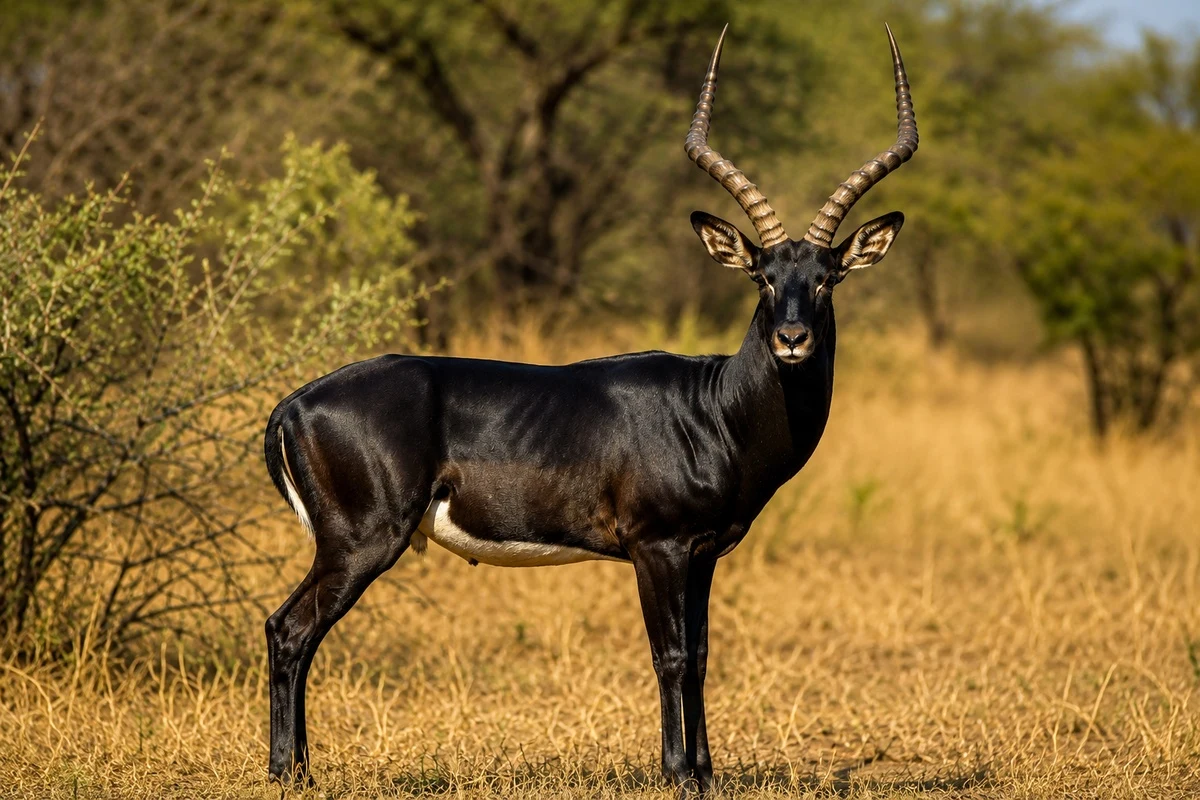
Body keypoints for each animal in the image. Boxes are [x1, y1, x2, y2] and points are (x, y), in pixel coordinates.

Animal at [263, 24, 918, 794]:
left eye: (826, 278)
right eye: (762, 276)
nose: (792, 339)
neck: (714, 411)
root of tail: (294, 404)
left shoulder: (703, 554)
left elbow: (701, 657)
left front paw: (706, 774)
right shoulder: (657, 548)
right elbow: (671, 657)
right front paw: (678, 776)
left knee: (292, 633)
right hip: (360, 543)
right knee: (288, 630)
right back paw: (289, 774)